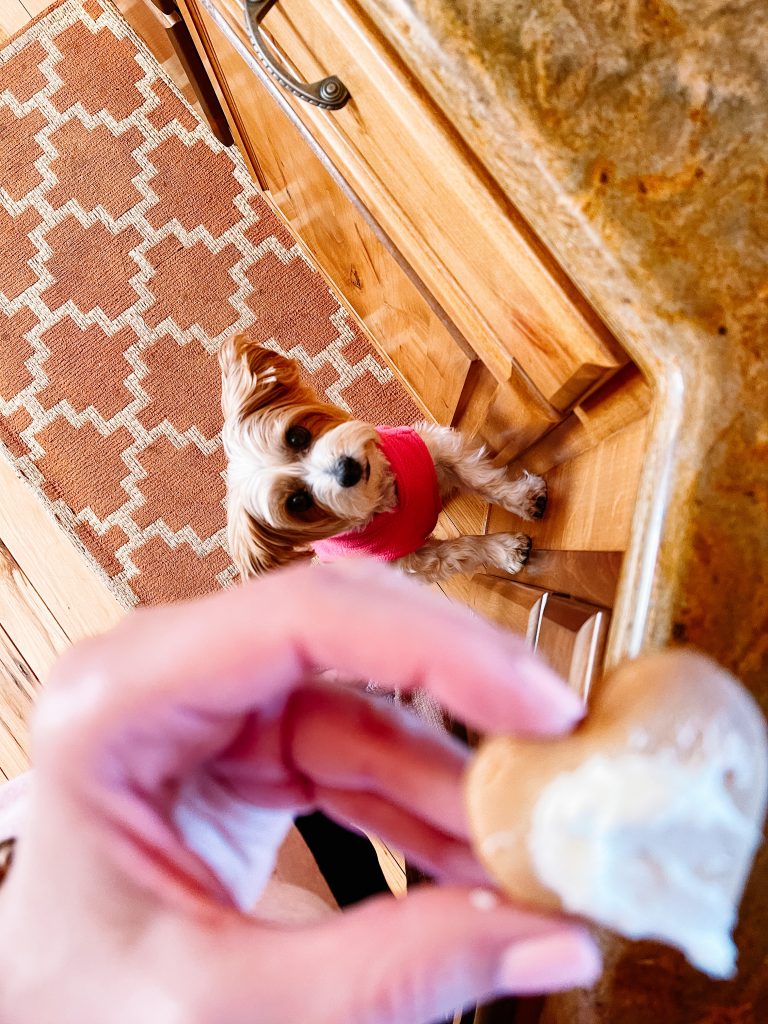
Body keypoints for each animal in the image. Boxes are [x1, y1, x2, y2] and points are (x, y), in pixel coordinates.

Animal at [219, 331, 548, 581]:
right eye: (297, 502)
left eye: (297, 435)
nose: (347, 470)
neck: (385, 495)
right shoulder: (415, 561)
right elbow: (463, 548)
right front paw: (504, 549)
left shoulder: (436, 448)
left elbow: (482, 481)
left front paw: (524, 498)